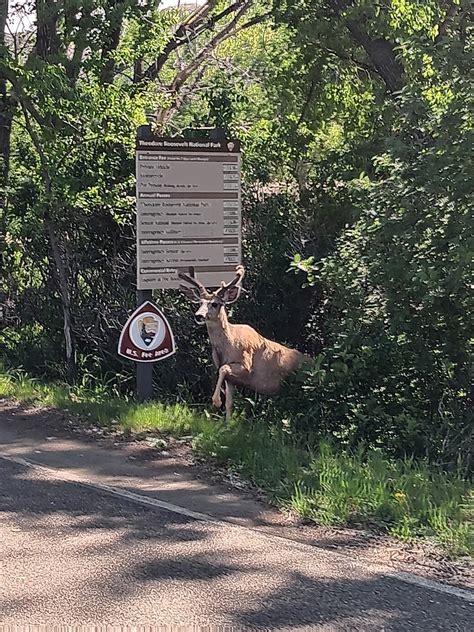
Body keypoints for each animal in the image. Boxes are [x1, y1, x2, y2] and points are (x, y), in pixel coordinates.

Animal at [178, 266, 308, 420]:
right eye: (199, 303)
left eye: (215, 304)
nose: (198, 316)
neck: (229, 344)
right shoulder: (231, 378)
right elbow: (229, 401)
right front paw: (228, 421)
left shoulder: (247, 366)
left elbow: (223, 369)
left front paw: (216, 401)